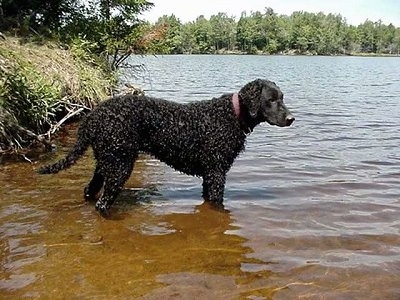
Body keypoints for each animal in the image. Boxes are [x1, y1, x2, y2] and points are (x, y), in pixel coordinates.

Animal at [38, 79, 294, 216]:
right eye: (271, 99)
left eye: (282, 97)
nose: (292, 118)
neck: (231, 114)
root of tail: (92, 116)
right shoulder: (216, 172)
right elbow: (216, 203)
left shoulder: (209, 175)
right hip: (120, 165)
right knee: (102, 203)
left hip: (106, 160)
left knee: (90, 190)